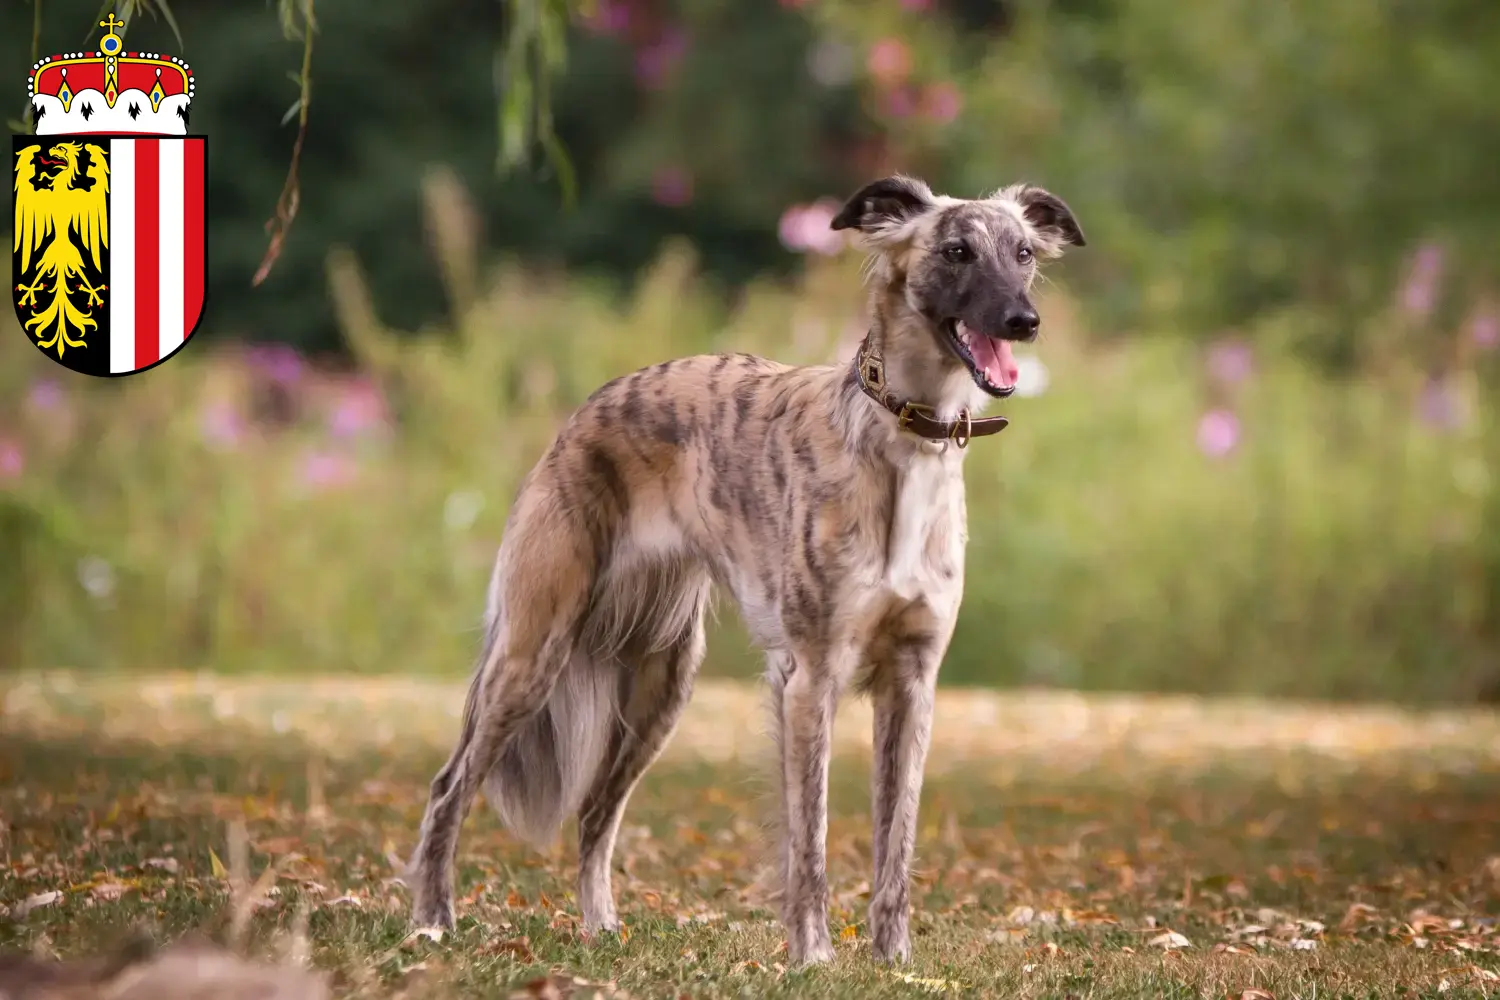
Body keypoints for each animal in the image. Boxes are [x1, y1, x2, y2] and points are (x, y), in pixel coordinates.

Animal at [408, 176, 1092, 965]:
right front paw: (813, 957)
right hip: (533, 651)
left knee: (595, 813)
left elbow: (897, 841)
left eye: (1023, 253)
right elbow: (810, 844)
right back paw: (431, 919)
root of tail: (582, 415)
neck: (900, 441)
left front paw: (893, 961)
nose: (1025, 321)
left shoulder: (913, 682)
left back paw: (600, 927)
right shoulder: (811, 679)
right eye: (956, 251)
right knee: (450, 787)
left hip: (661, 683)